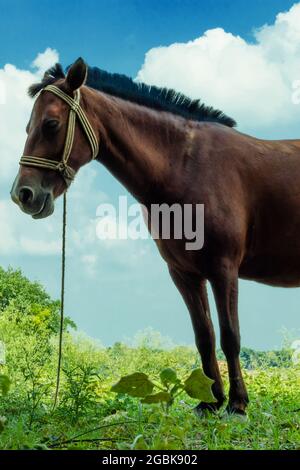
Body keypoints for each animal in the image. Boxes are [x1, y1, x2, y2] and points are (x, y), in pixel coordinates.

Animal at [10, 57, 298, 414]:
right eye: (27, 126)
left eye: (50, 124)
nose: (23, 194)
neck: (189, 167)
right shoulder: (184, 274)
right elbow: (204, 337)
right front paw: (210, 401)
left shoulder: (224, 269)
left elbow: (231, 336)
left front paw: (237, 404)